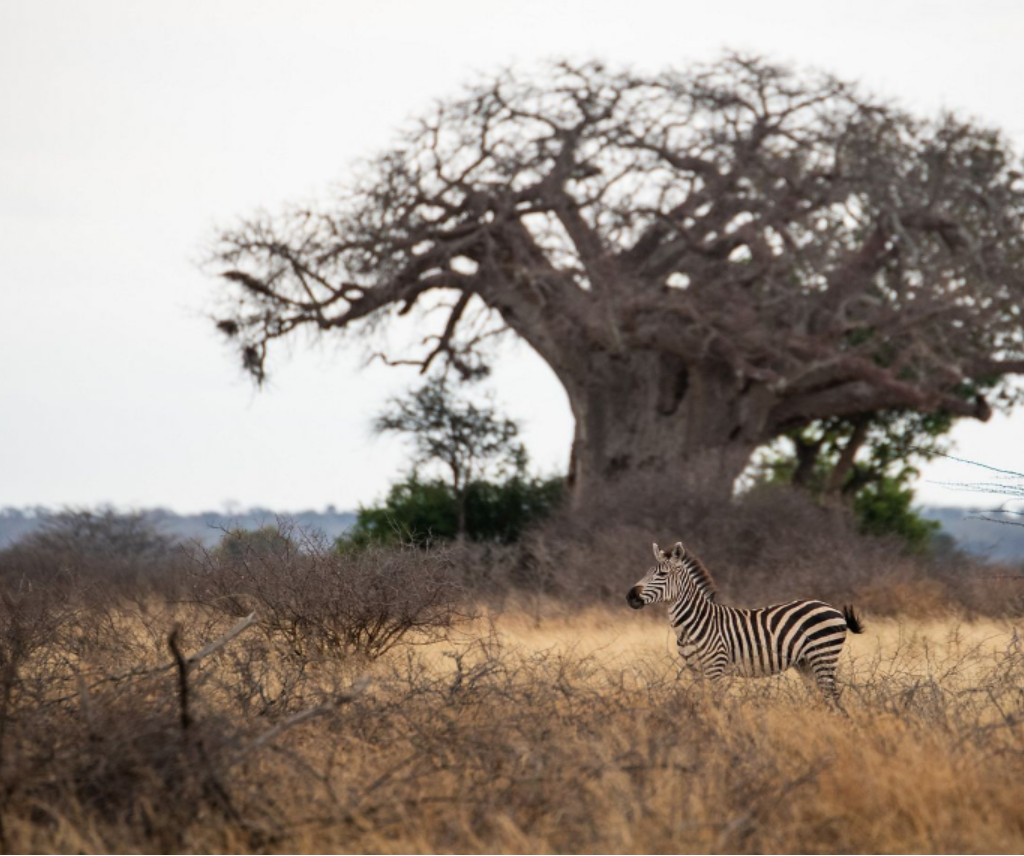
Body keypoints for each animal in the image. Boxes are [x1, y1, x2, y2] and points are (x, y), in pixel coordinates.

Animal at [622, 540, 864, 700]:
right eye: (646, 572)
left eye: (662, 575)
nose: (630, 596)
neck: (692, 624)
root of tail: (831, 608)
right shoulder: (695, 671)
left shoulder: (715, 669)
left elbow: (716, 704)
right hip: (805, 662)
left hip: (823, 656)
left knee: (833, 696)